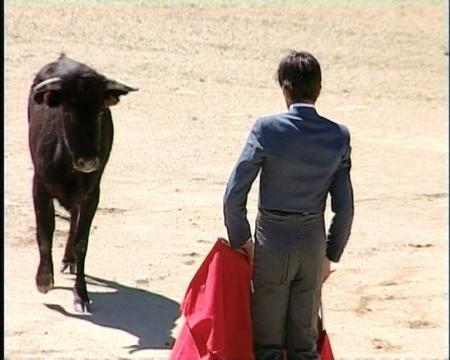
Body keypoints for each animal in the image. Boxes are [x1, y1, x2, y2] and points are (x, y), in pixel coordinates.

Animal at [28, 54, 137, 312]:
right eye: (68, 111)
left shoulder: (91, 195)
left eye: (100, 113)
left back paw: (69, 260)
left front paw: (81, 295)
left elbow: (82, 241)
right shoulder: (39, 188)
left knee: (74, 221)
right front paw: (43, 280)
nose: (87, 162)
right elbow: (44, 232)